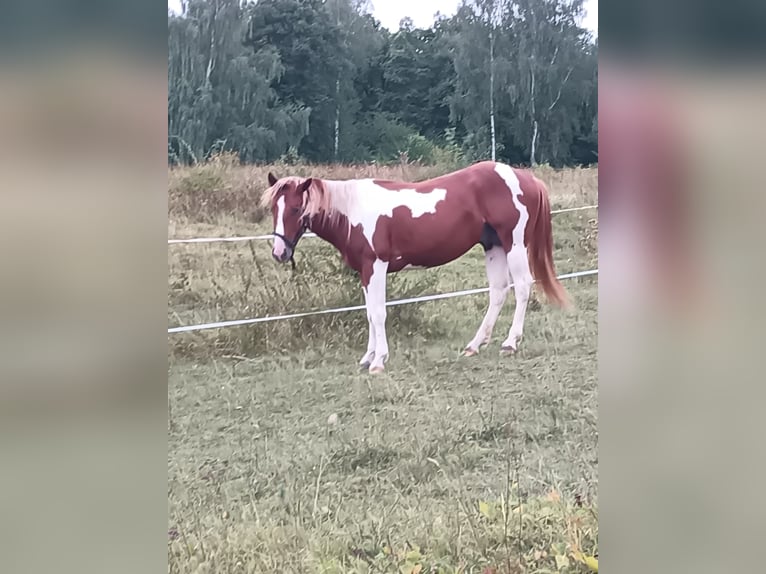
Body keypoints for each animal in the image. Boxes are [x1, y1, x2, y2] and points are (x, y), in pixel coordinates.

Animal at [260, 160, 570, 373]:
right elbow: (369, 313)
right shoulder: (365, 272)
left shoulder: (376, 266)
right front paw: (367, 358)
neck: (352, 211)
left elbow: (379, 313)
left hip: (514, 245)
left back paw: (510, 343)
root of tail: (525, 177)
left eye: (296, 209)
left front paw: (379, 361)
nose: (279, 252)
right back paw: (474, 345)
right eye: (274, 208)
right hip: (493, 247)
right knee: (498, 292)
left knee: (522, 288)